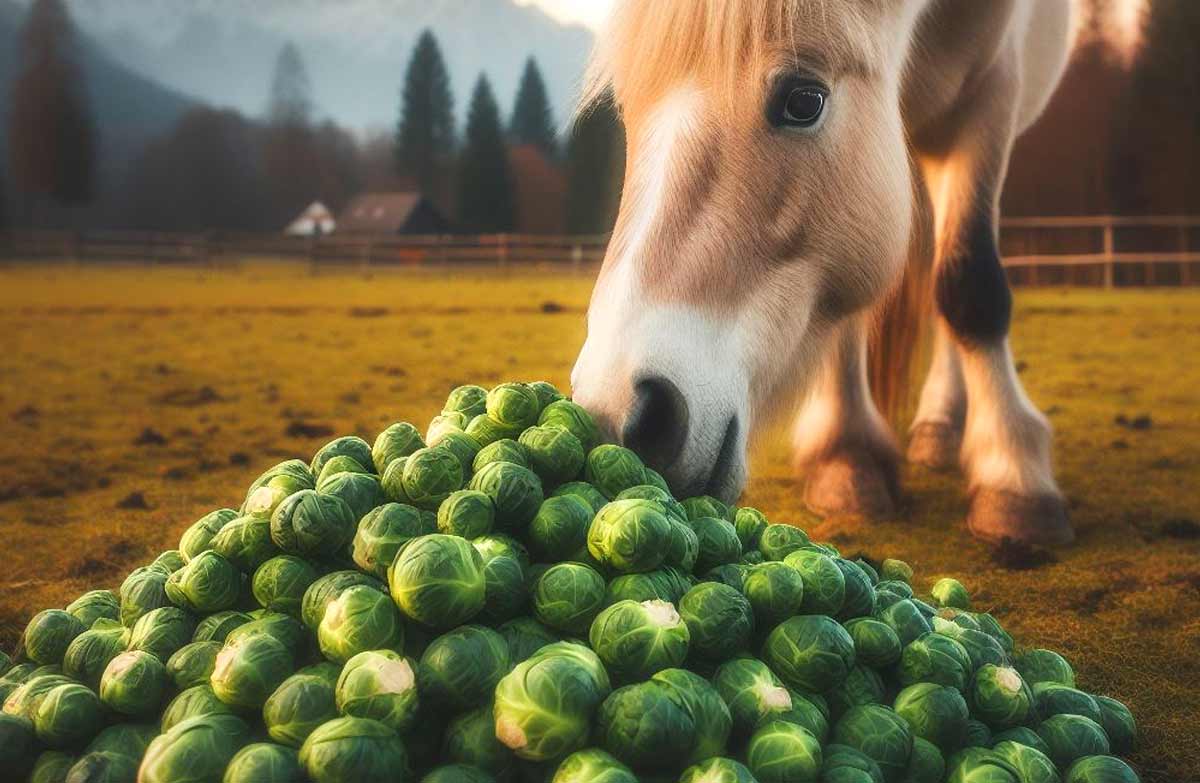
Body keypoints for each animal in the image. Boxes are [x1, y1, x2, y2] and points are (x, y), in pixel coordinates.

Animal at [570, 0, 1076, 545]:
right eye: (628, 108)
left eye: (804, 101)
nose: (615, 409)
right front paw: (845, 455)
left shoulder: (990, 93)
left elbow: (969, 284)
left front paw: (1013, 475)